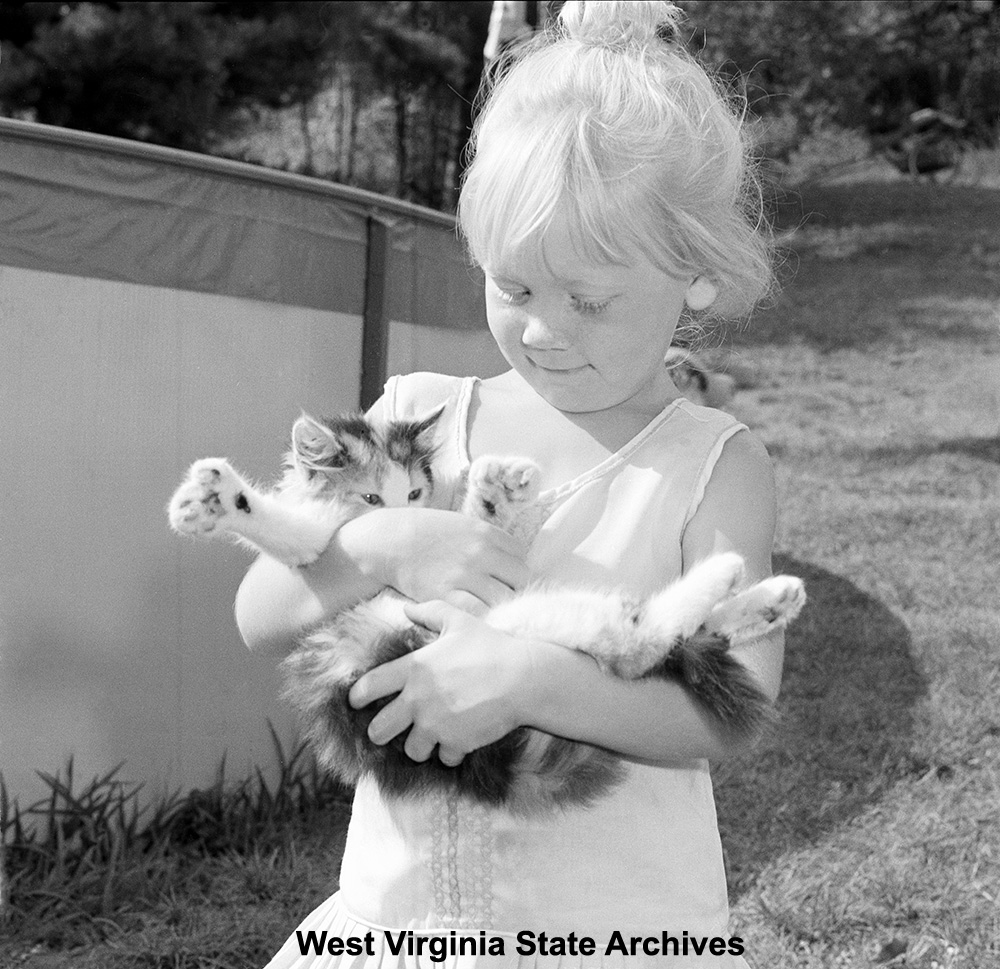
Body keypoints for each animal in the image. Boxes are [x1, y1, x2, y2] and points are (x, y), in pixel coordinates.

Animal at [166, 410, 804, 816]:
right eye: (371, 498)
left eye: (414, 495)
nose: (403, 512)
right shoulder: (318, 542)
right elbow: (290, 532)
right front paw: (213, 501)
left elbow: (492, 527)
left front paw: (498, 491)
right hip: (498, 631)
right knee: (637, 648)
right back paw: (740, 589)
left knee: (649, 647)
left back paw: (761, 598)